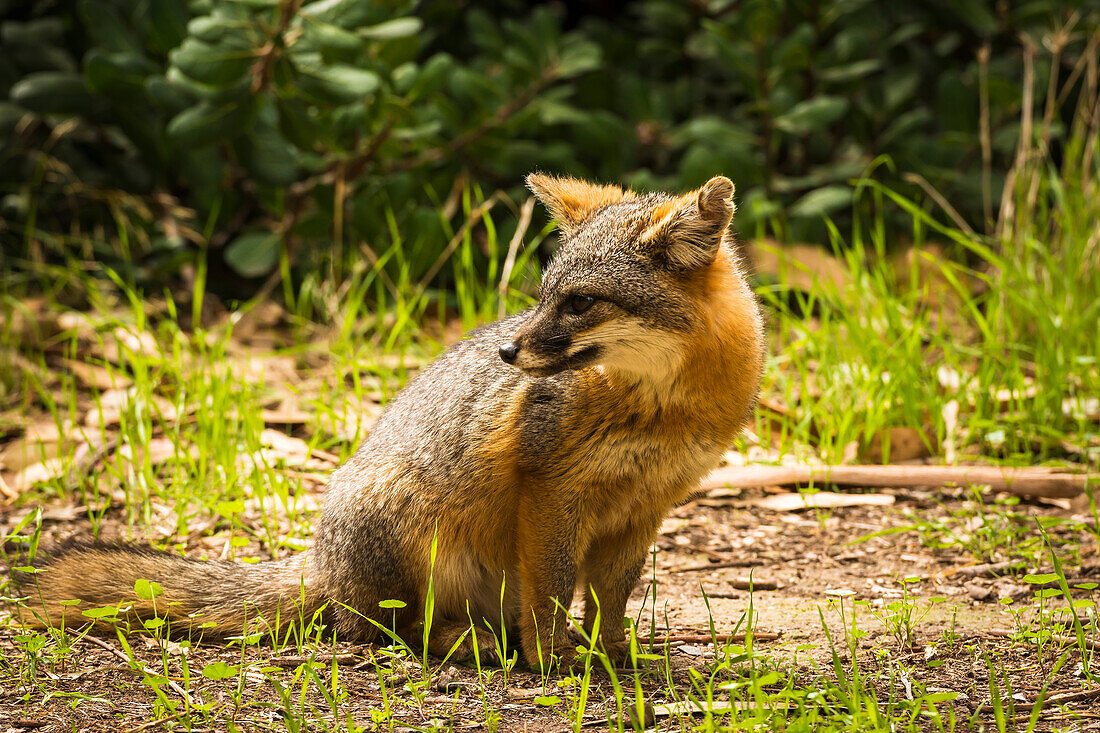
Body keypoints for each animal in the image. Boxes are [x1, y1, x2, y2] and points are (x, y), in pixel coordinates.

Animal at [12, 171, 765, 669]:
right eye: (545, 296)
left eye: (580, 303)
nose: (508, 352)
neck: (664, 406)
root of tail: (321, 562)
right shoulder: (552, 494)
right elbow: (551, 595)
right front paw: (555, 664)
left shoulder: (645, 506)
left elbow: (609, 600)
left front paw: (614, 659)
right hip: (409, 525)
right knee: (386, 631)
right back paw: (476, 644)